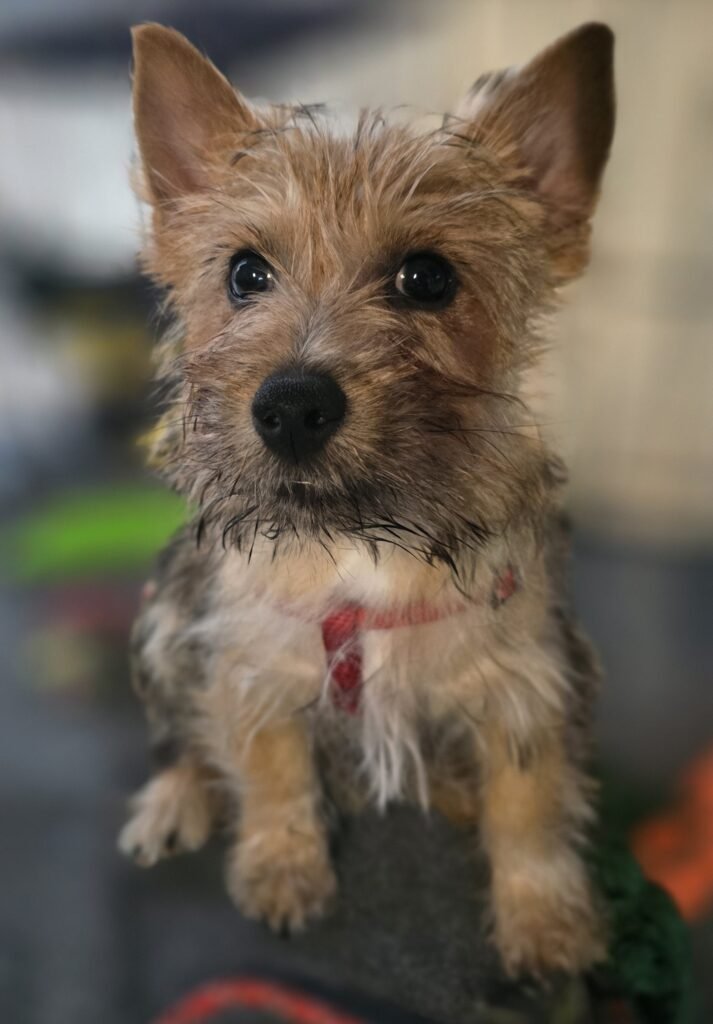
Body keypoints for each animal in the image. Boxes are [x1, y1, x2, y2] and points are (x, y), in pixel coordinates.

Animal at [119, 21, 615, 978]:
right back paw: (174, 800)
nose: (290, 405)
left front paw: (543, 918)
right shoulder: (254, 666)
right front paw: (282, 867)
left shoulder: (524, 685)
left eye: (426, 278)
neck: (359, 537)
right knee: (183, 738)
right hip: (165, 620)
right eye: (245, 274)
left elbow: (529, 807)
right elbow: (269, 771)